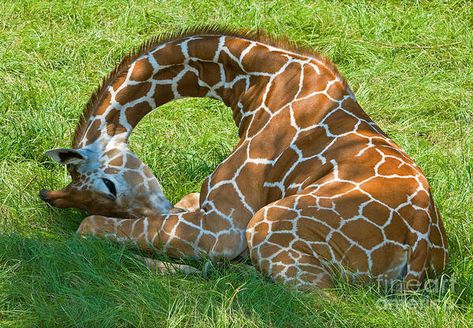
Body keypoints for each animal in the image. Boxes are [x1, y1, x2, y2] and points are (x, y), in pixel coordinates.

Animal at [39, 28, 446, 290]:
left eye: (109, 185)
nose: (156, 209)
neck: (255, 83)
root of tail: (421, 251)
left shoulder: (222, 229)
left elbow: (87, 225)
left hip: (268, 223)